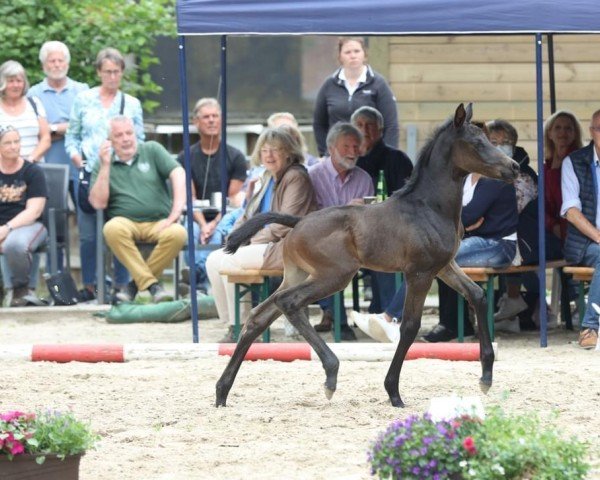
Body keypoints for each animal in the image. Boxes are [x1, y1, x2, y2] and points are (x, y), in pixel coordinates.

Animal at [216, 103, 520, 406]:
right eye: (477, 143)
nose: (514, 167)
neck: (429, 206)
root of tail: (298, 221)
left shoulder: (445, 267)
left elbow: (477, 295)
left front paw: (486, 376)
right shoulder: (419, 273)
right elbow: (410, 326)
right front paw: (393, 391)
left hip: (297, 274)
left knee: (259, 316)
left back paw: (222, 392)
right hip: (334, 275)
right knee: (288, 302)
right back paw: (331, 372)